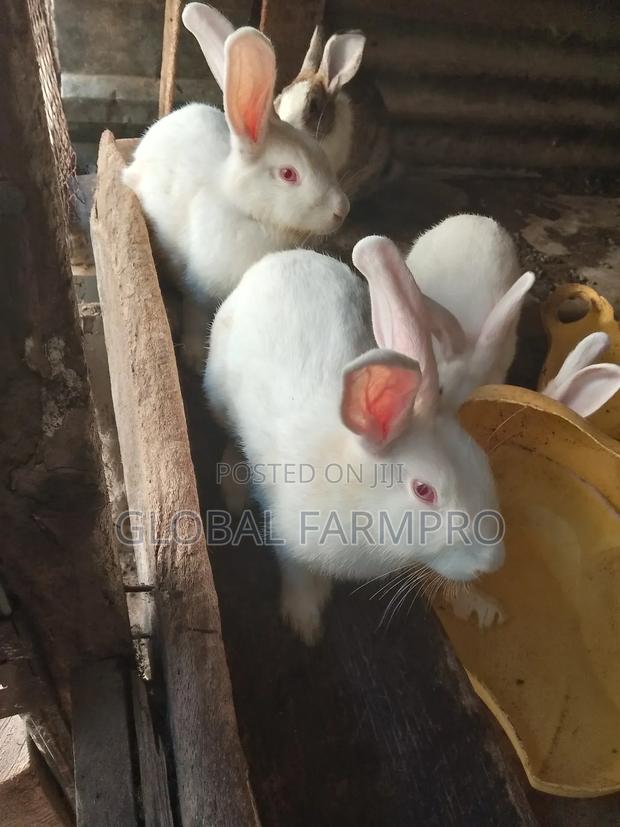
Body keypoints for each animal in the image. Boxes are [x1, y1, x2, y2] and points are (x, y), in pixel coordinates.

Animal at [123, 6, 349, 372]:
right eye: (289, 174)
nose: (341, 209)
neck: (248, 212)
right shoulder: (198, 294)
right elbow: (196, 318)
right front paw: (192, 357)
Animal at [204, 235, 506, 644]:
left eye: (481, 462)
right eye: (424, 491)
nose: (491, 562)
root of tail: (281, 258)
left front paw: (481, 606)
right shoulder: (292, 544)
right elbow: (299, 578)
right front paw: (306, 624)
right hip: (219, 396)